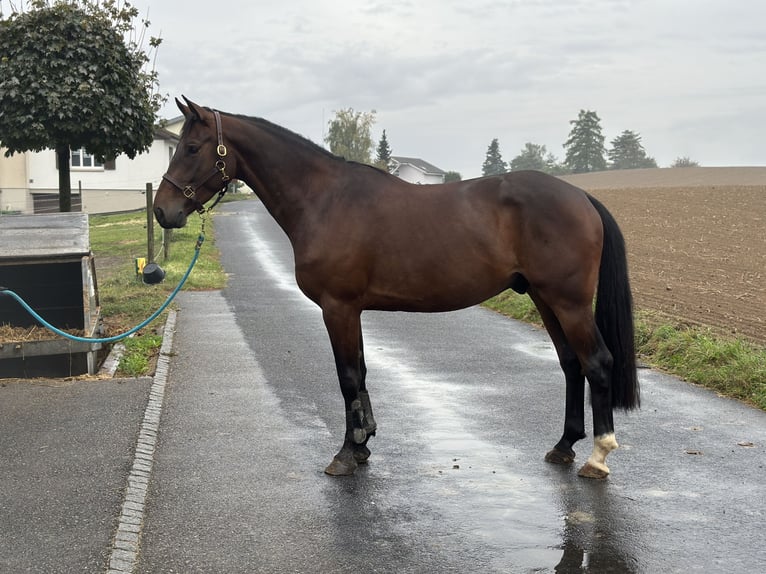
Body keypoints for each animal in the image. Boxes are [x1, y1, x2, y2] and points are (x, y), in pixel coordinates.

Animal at [153, 98, 640, 482]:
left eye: (192, 148)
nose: (162, 211)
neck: (324, 199)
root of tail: (581, 196)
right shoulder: (351, 310)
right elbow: (362, 374)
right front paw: (364, 443)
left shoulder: (338, 308)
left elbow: (348, 377)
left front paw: (346, 454)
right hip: (544, 298)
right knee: (571, 364)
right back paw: (564, 445)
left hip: (568, 302)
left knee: (597, 363)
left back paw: (597, 457)